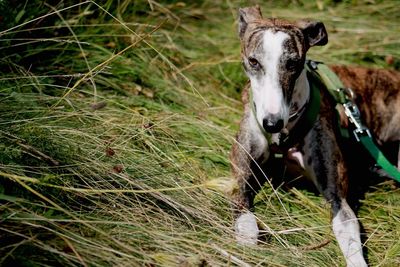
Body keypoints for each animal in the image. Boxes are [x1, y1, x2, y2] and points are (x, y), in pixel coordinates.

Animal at [230, 5, 400, 266]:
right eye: (253, 61)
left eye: (294, 63)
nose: (272, 123)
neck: (284, 134)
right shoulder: (241, 176)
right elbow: (245, 216)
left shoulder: (337, 197)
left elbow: (347, 227)